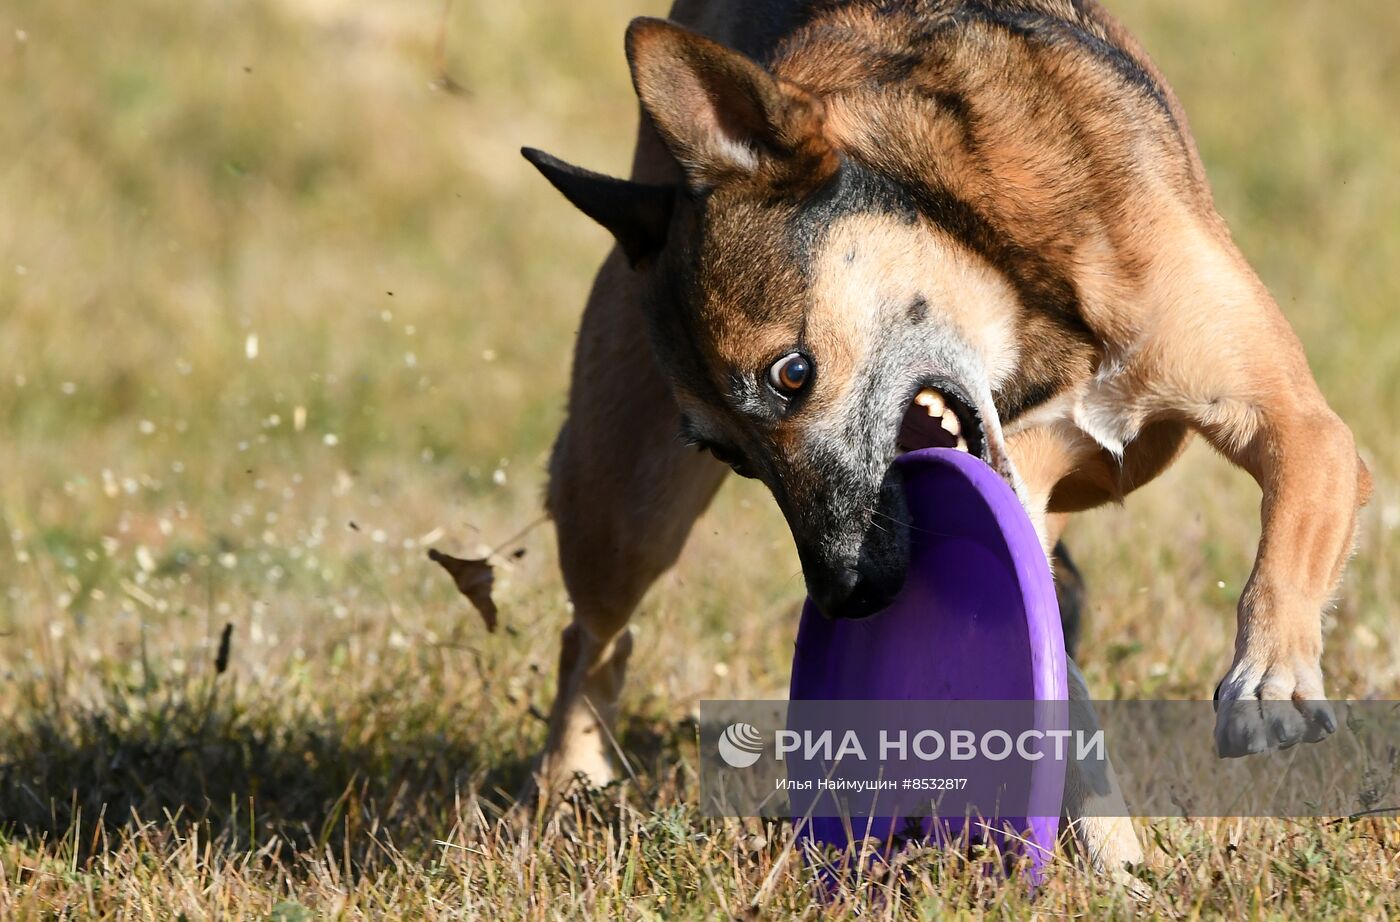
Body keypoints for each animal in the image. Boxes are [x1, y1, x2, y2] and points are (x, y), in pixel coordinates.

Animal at [523, 0, 1366, 878]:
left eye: (792, 373)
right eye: (728, 456)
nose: (847, 596)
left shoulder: (1297, 421)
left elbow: (1289, 530)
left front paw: (1268, 682)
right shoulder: (1022, 493)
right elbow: (1066, 707)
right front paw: (1115, 864)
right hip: (623, 505)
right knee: (591, 635)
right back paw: (567, 792)